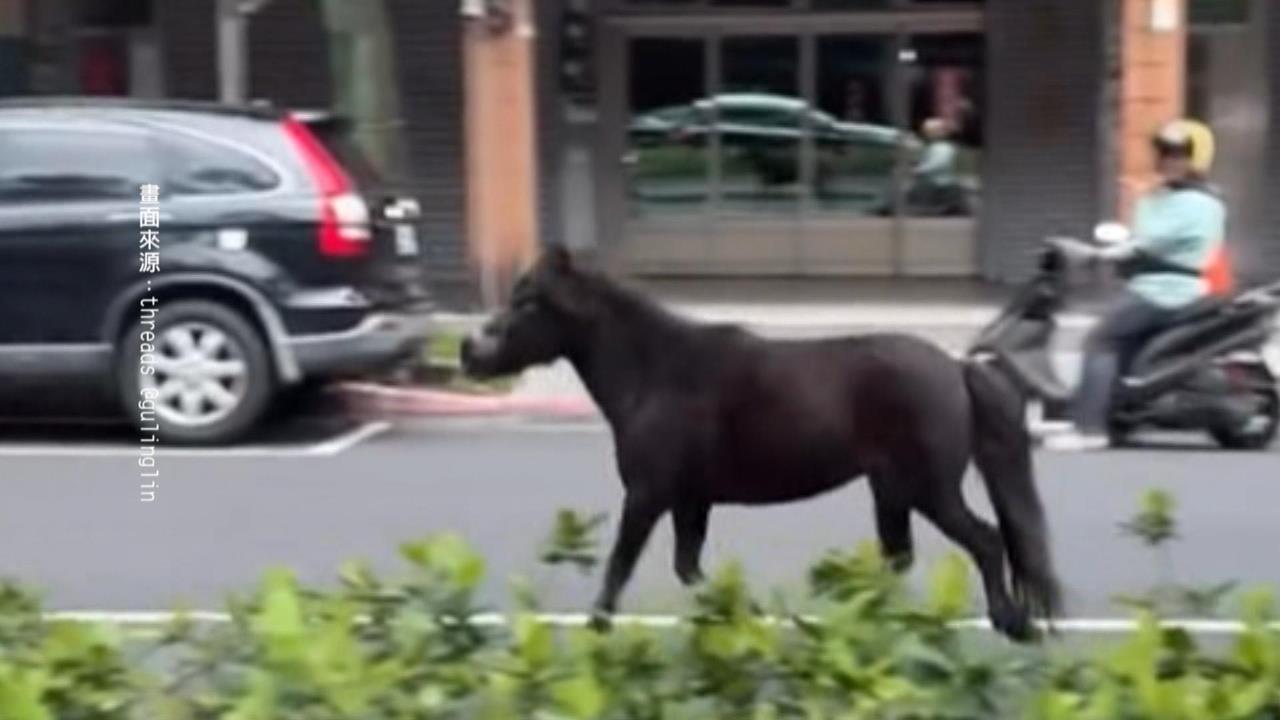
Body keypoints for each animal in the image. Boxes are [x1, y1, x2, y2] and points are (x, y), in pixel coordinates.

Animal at [461, 247, 1061, 641]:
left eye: (528, 301)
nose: (470, 351)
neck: (656, 373)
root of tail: (958, 369)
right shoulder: (690, 499)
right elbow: (688, 567)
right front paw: (743, 610)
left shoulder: (648, 494)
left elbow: (621, 563)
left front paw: (597, 623)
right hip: (892, 491)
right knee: (900, 559)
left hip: (928, 489)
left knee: (985, 541)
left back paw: (1011, 621)